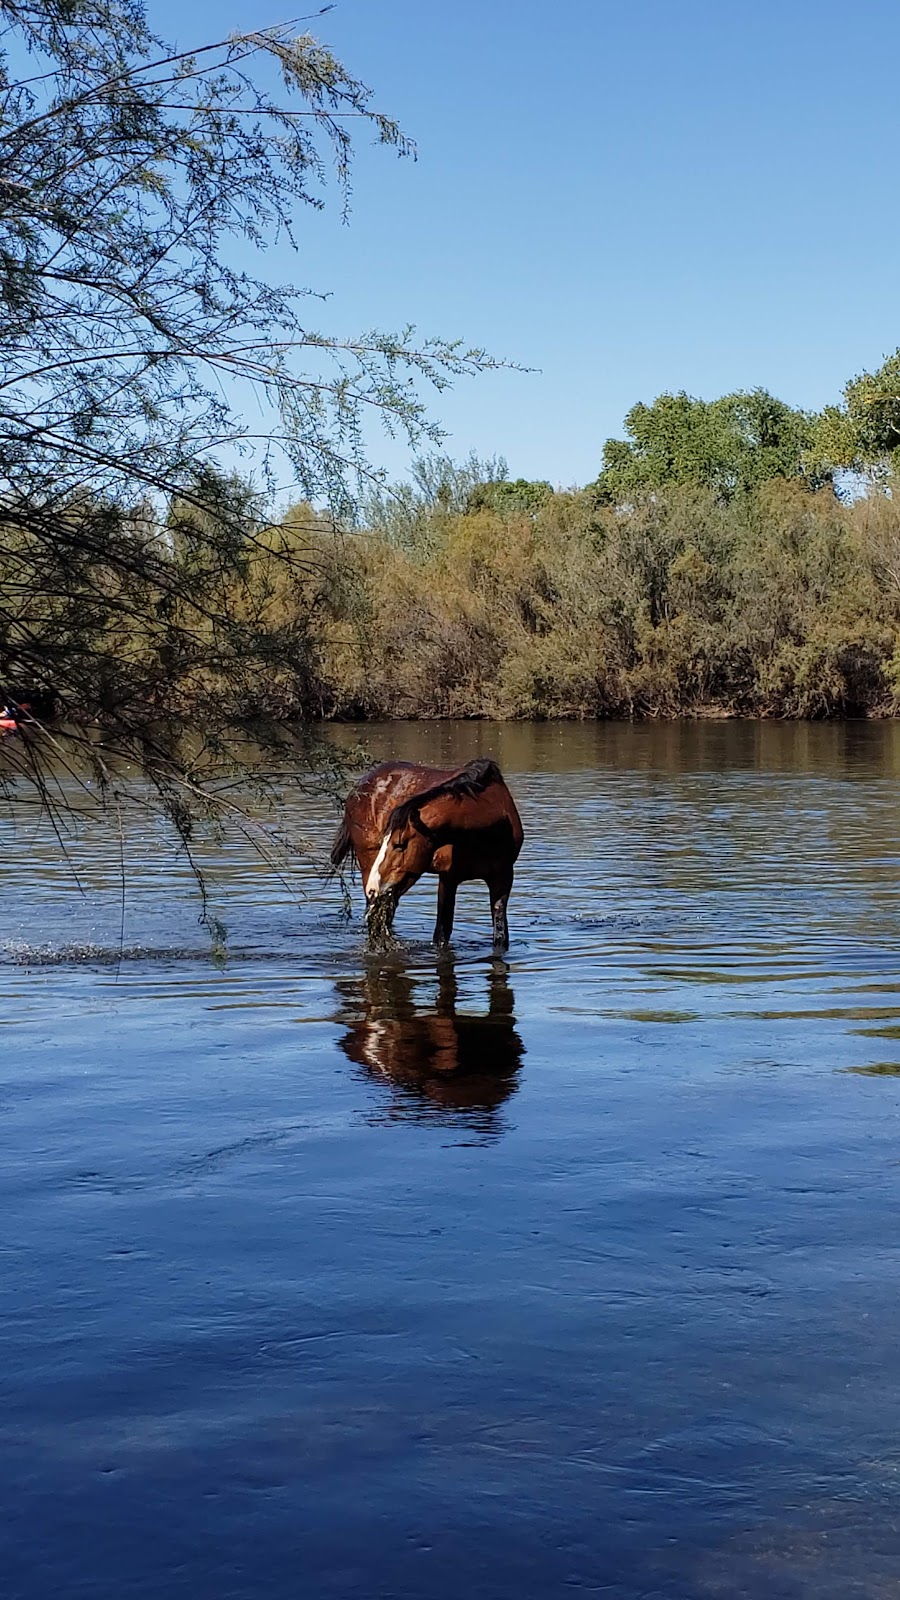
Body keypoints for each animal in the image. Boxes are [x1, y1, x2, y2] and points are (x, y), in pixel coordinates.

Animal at [329, 755, 522, 940]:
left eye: (399, 844)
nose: (373, 887)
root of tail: (359, 788)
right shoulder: (448, 879)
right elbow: (442, 934)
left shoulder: (502, 880)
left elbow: (500, 936)